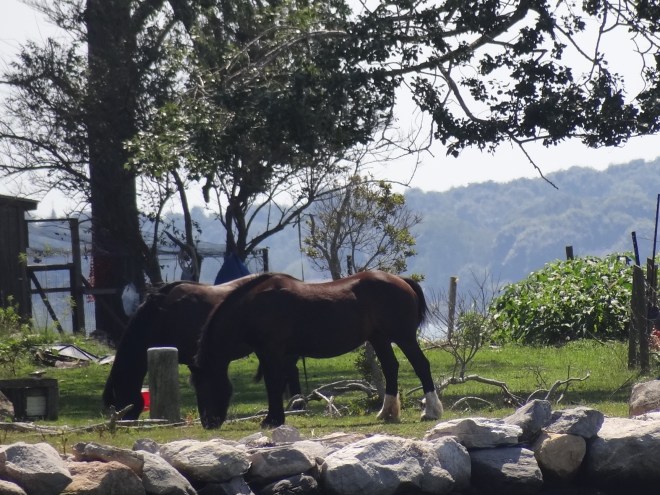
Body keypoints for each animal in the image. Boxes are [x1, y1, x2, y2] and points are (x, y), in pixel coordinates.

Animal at [192, 270, 444, 429]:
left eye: (203, 383)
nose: (207, 422)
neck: (253, 307)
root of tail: (401, 280)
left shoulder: (270, 351)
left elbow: (273, 383)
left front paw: (272, 420)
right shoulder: (280, 355)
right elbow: (280, 383)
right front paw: (276, 418)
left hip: (404, 337)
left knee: (421, 365)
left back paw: (431, 411)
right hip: (379, 339)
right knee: (391, 368)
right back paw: (387, 413)